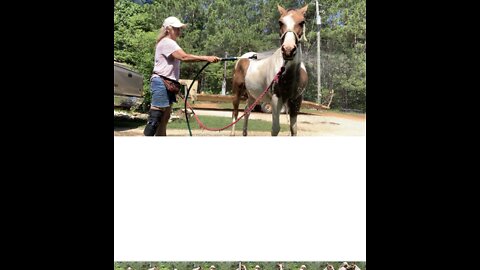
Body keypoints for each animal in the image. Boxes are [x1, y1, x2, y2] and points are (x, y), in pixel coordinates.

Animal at [232, 5, 308, 137]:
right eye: (280, 22)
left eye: (302, 22)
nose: (288, 50)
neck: (289, 75)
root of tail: (242, 58)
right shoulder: (276, 99)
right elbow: (275, 129)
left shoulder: (296, 100)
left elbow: (294, 129)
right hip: (237, 91)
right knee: (235, 112)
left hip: (252, 95)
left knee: (247, 111)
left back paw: (245, 133)